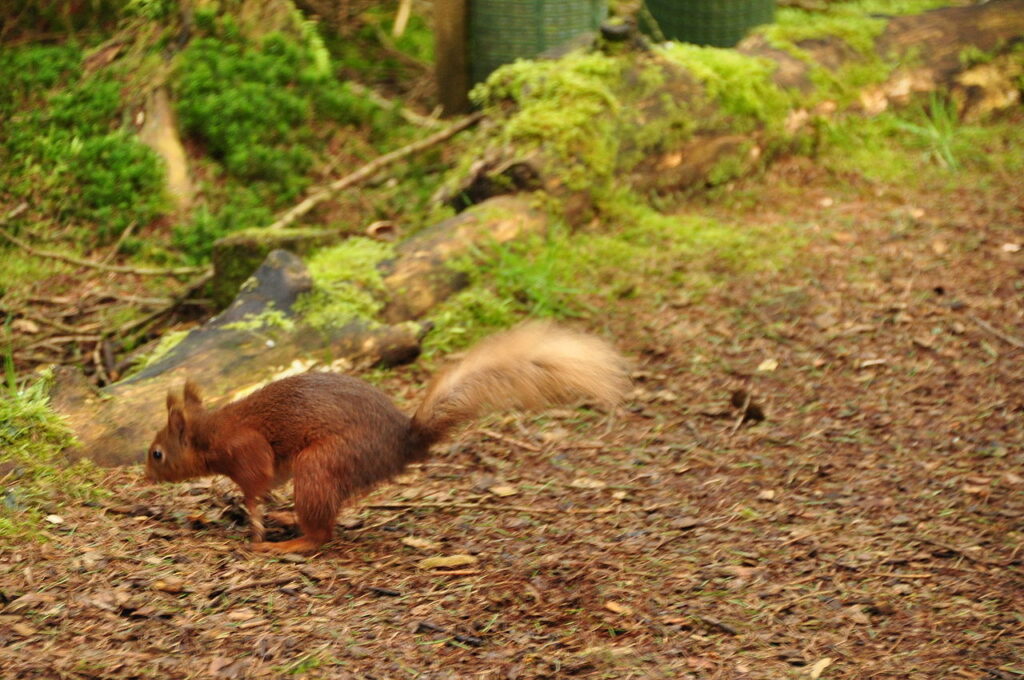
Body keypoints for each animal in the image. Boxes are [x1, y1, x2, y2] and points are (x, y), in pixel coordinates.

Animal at [142, 323, 622, 553]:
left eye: (157, 453)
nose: (145, 476)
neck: (210, 431)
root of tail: (401, 444)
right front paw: (262, 512)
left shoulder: (246, 447)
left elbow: (256, 481)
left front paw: (254, 516)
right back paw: (288, 520)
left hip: (321, 464)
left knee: (322, 535)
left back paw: (288, 544)